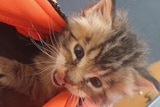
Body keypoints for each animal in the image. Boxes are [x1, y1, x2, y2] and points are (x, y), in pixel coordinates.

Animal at [0, 0, 160, 107]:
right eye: (78, 51)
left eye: (96, 82)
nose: (66, 79)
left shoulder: (42, 93)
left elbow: (30, 79)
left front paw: (6, 69)